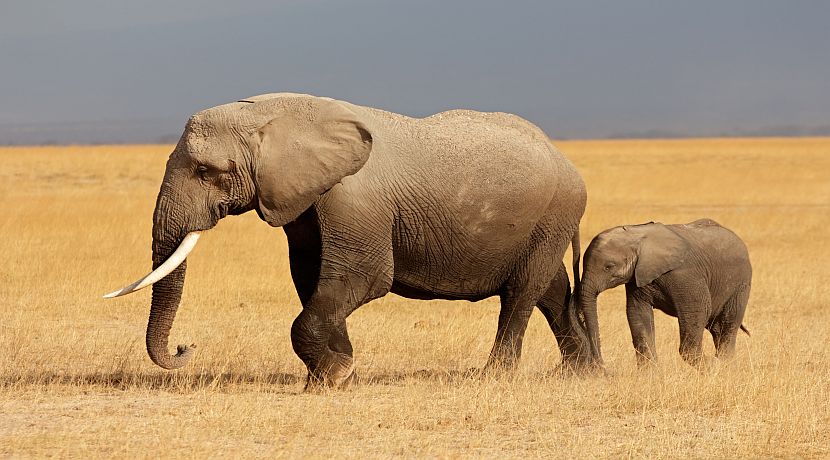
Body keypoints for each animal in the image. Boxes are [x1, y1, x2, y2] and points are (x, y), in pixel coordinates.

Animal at [105, 93, 592, 387]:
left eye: (207, 171)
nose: (185, 348)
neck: (278, 114)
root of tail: (567, 160)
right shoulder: (302, 199)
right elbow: (310, 278)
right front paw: (335, 371)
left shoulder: (354, 199)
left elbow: (364, 278)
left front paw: (332, 375)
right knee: (551, 289)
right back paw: (582, 372)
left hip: (554, 213)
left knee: (521, 292)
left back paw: (494, 376)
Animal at [576, 219, 751, 367]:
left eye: (609, 266)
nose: (602, 365)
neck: (638, 234)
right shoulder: (637, 277)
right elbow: (637, 314)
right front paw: (649, 374)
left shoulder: (685, 274)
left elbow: (697, 311)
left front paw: (712, 367)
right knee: (717, 327)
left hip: (741, 284)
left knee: (728, 324)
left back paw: (724, 365)